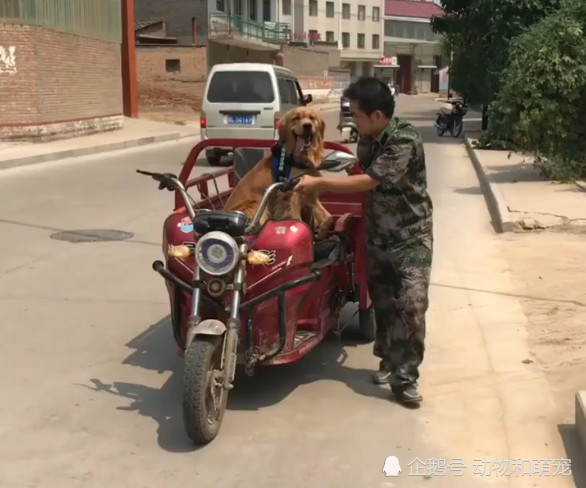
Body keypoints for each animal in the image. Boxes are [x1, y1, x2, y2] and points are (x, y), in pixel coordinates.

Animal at [221, 107, 330, 240]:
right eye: (296, 118)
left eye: (312, 118)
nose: (307, 126)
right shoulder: (289, 196)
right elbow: (296, 219)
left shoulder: (309, 192)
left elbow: (328, 216)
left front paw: (322, 231)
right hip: (254, 204)